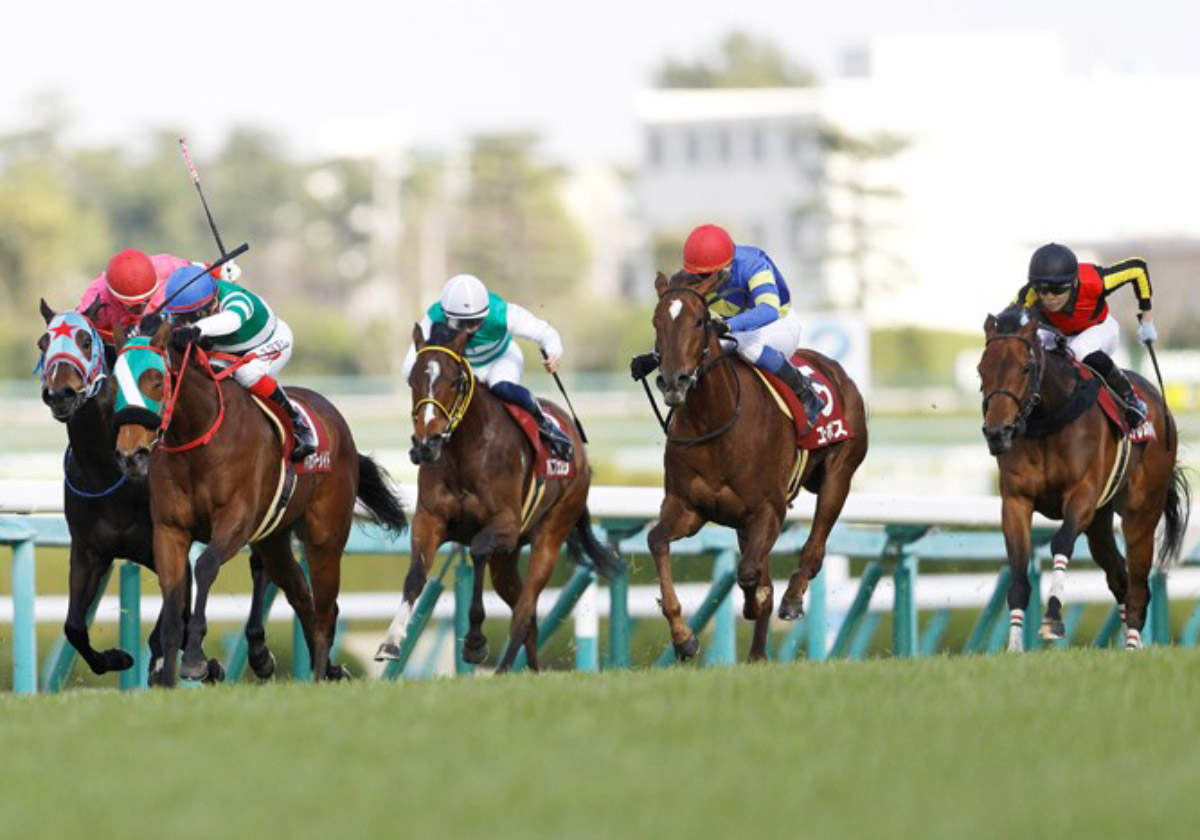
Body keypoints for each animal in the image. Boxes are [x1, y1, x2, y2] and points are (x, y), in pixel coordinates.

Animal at [37, 302, 276, 681]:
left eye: (86, 340)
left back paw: (261, 653)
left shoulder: (169, 544)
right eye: (42, 343)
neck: (108, 474)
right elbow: (73, 625)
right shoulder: (89, 551)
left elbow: (173, 619)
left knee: (261, 565)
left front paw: (199, 663)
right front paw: (115, 658)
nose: (60, 394)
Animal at [110, 319, 408, 686]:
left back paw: (320, 673)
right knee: (301, 595)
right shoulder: (170, 529)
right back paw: (318, 667)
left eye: (154, 379)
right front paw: (165, 677)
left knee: (326, 608)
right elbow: (173, 592)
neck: (198, 439)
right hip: (274, 539)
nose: (130, 456)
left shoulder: (236, 520)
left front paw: (194, 659)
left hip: (325, 537)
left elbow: (205, 565)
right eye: (115, 381)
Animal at [374, 319, 619, 672]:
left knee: (525, 611)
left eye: (454, 381)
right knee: (527, 615)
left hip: (551, 532)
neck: (465, 453)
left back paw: (504, 668)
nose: (426, 444)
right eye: (413, 380)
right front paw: (391, 641)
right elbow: (416, 575)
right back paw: (530, 671)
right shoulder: (429, 520)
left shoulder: (505, 524)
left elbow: (477, 550)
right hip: (507, 558)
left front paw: (475, 642)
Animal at [643, 271, 868, 662]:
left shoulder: (768, 508)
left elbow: (749, 572)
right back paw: (757, 653)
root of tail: (836, 369)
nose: (673, 382)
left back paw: (792, 599)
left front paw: (756, 602)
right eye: (657, 322)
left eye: (699, 321)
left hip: (839, 475)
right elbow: (657, 540)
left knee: (814, 546)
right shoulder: (688, 507)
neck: (714, 422)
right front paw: (683, 637)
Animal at [979, 309, 1185, 648]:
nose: (997, 433)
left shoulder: (1082, 496)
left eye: (1025, 368)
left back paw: (1133, 644)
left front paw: (1052, 618)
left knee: (1138, 580)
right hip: (1100, 523)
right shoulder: (1016, 501)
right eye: (981, 369)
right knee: (1119, 576)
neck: (1048, 418)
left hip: (1141, 512)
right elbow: (1018, 572)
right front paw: (1014, 646)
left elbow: (1061, 542)